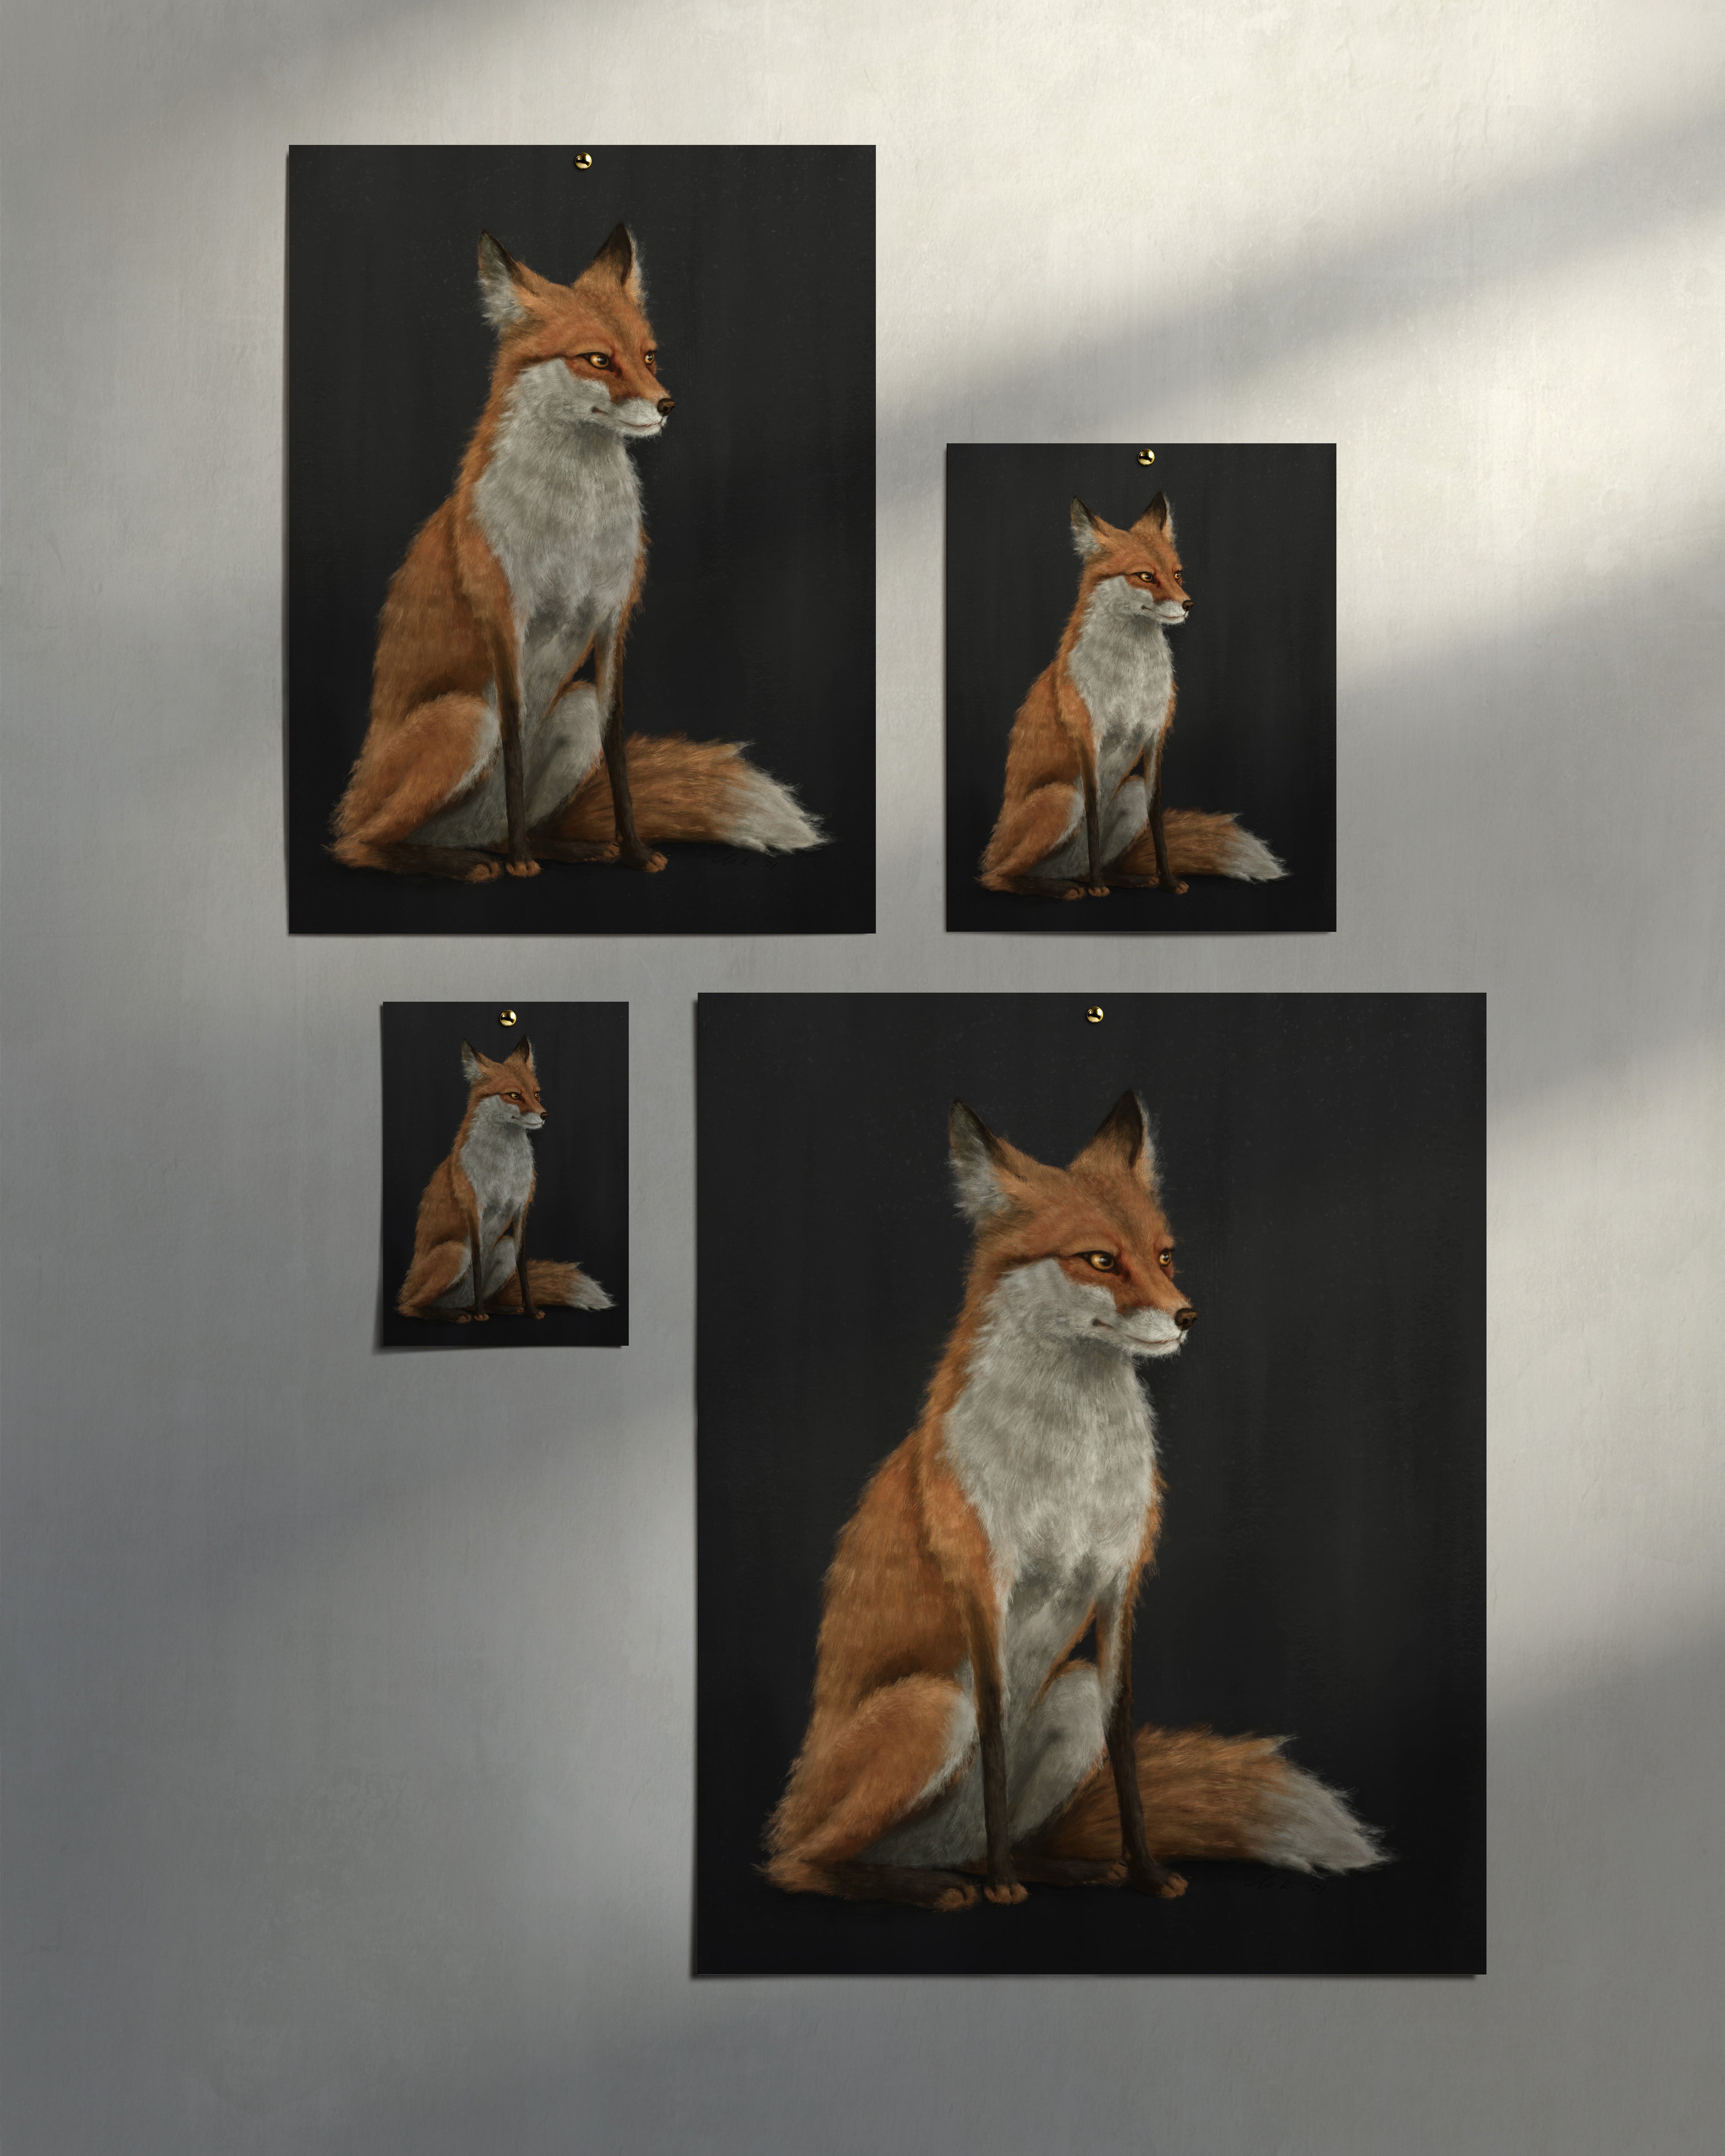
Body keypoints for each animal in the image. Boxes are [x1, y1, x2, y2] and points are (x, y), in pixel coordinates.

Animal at [332, 222, 822, 884]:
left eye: (649, 356)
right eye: (597, 359)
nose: (667, 405)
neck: (575, 525)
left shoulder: (613, 621)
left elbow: (618, 756)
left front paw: (634, 852)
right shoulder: (506, 622)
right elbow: (514, 747)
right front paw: (523, 864)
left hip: (575, 709)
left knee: (509, 824)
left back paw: (561, 848)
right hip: (464, 720)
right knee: (359, 845)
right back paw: (471, 861)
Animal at [396, 1039, 612, 1322]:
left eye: (537, 1094)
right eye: (514, 1095)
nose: (545, 1115)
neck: (505, 1168)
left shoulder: (521, 1209)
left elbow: (523, 1268)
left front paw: (530, 1310)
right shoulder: (474, 1210)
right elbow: (477, 1264)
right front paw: (481, 1315)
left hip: (504, 1248)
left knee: (477, 1297)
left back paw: (498, 1308)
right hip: (455, 1252)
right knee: (409, 1307)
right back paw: (459, 1314)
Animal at [764, 1092, 1382, 1912]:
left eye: (1164, 1256)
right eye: (1099, 1260)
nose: (1187, 1316)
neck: (1073, 1468)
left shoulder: (1120, 1584)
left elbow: (1125, 1753)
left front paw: (1145, 1873)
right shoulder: (984, 1585)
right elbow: (994, 1741)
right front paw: (1005, 1888)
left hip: (1071, 1694)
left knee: (991, 1838)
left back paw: (1053, 1868)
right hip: (931, 1708)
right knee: (800, 1864)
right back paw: (937, 1884)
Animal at [980, 493, 1285, 900]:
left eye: (1177, 574)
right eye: (1145, 576)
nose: (1188, 604)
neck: (1132, 679)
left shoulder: (1155, 738)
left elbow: (1158, 822)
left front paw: (1168, 881)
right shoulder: (1088, 739)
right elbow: (1093, 817)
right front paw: (1098, 889)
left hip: (1131, 792)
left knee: (1086, 865)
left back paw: (1123, 879)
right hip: (1062, 799)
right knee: (997, 877)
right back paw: (1065, 887)